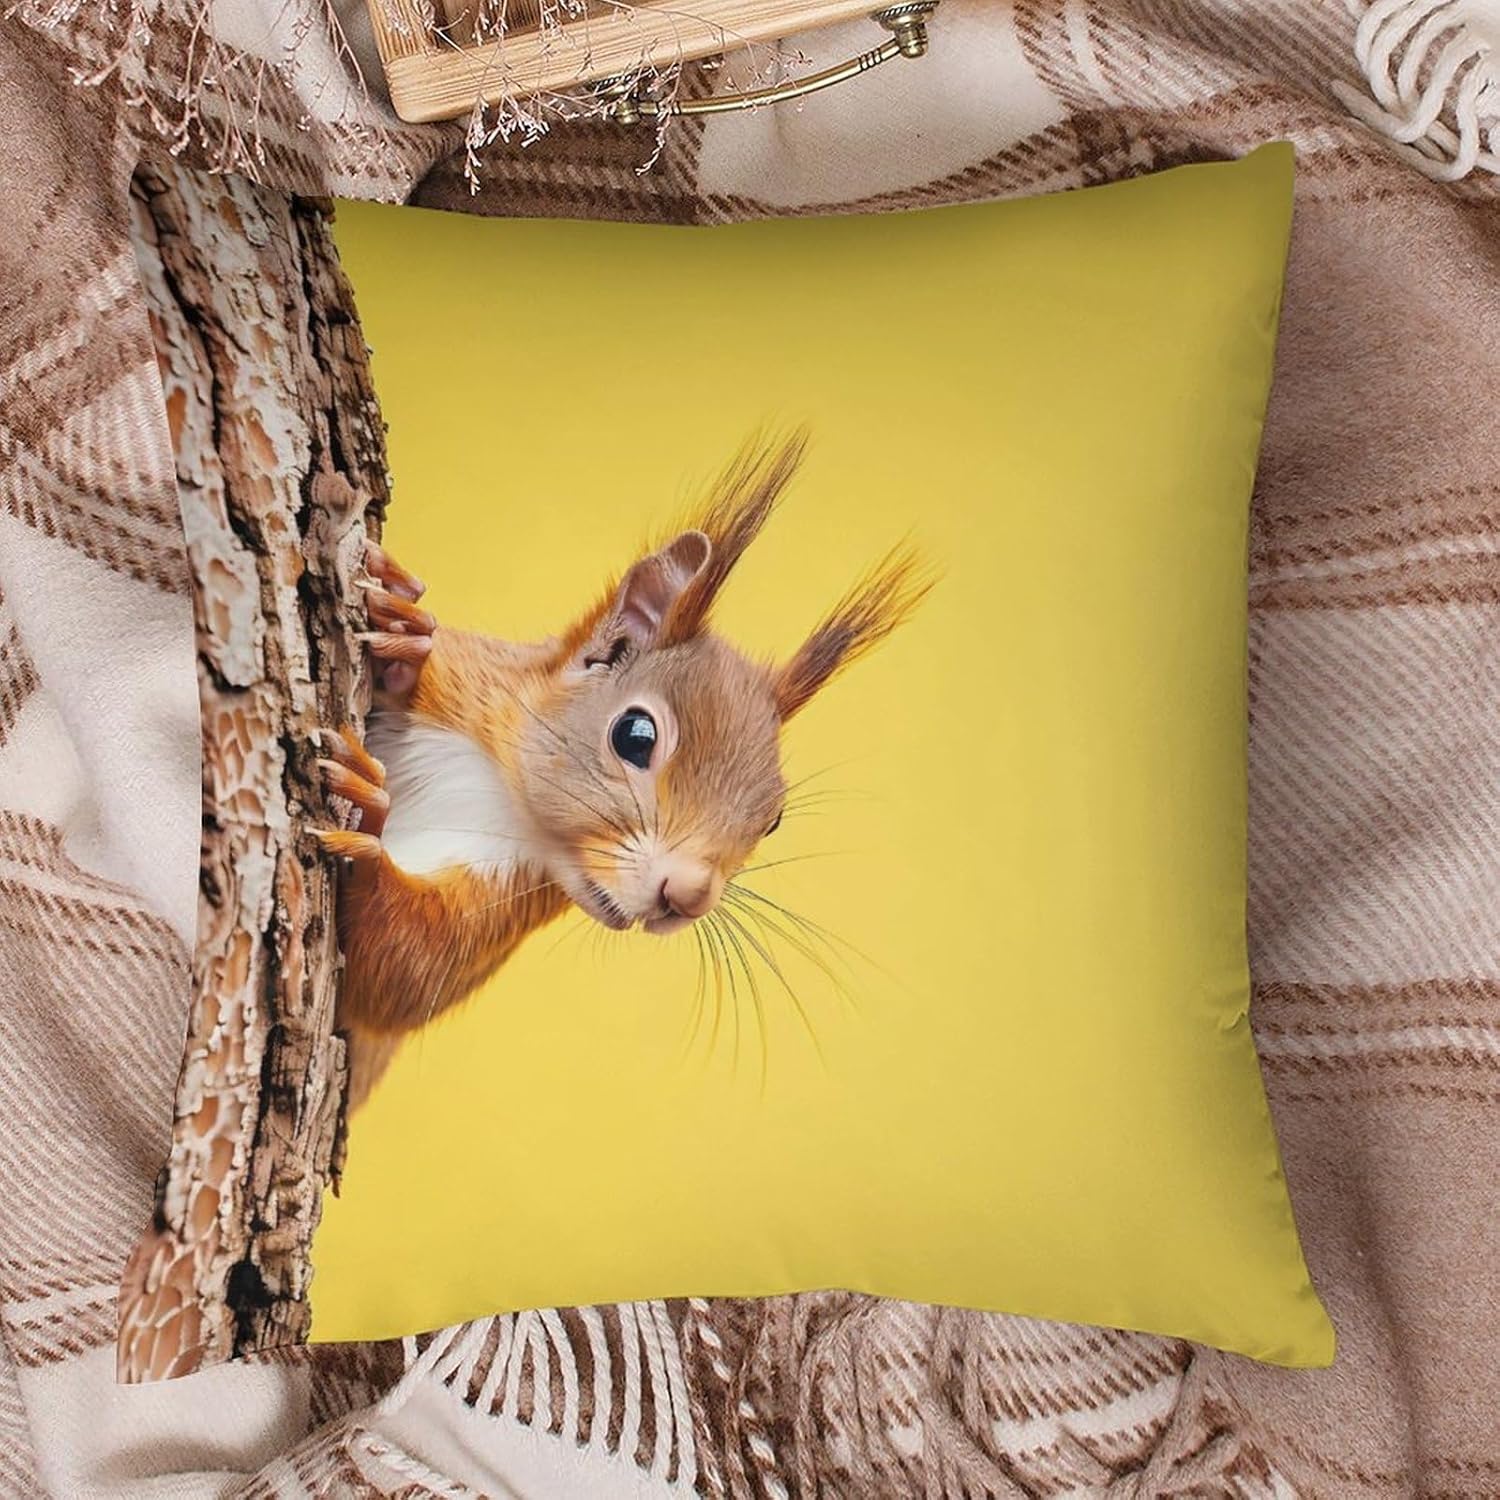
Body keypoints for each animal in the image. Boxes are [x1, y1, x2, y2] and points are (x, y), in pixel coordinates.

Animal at [315, 433, 930, 1107]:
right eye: (635, 735)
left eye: (773, 820)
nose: (687, 898)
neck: (501, 796)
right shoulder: (468, 683)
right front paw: (406, 630)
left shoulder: (504, 906)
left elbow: (400, 976)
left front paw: (367, 828)